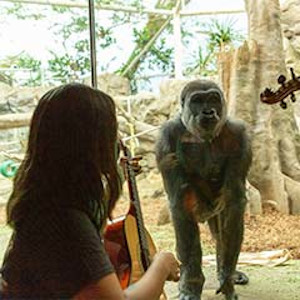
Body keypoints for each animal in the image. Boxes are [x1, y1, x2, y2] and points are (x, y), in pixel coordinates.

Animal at [156, 79, 252, 300]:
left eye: (213, 99)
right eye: (198, 100)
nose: (208, 112)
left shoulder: (240, 136)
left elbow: (234, 202)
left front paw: (226, 276)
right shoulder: (166, 139)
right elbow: (181, 204)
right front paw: (191, 284)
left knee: (221, 229)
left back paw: (231, 272)